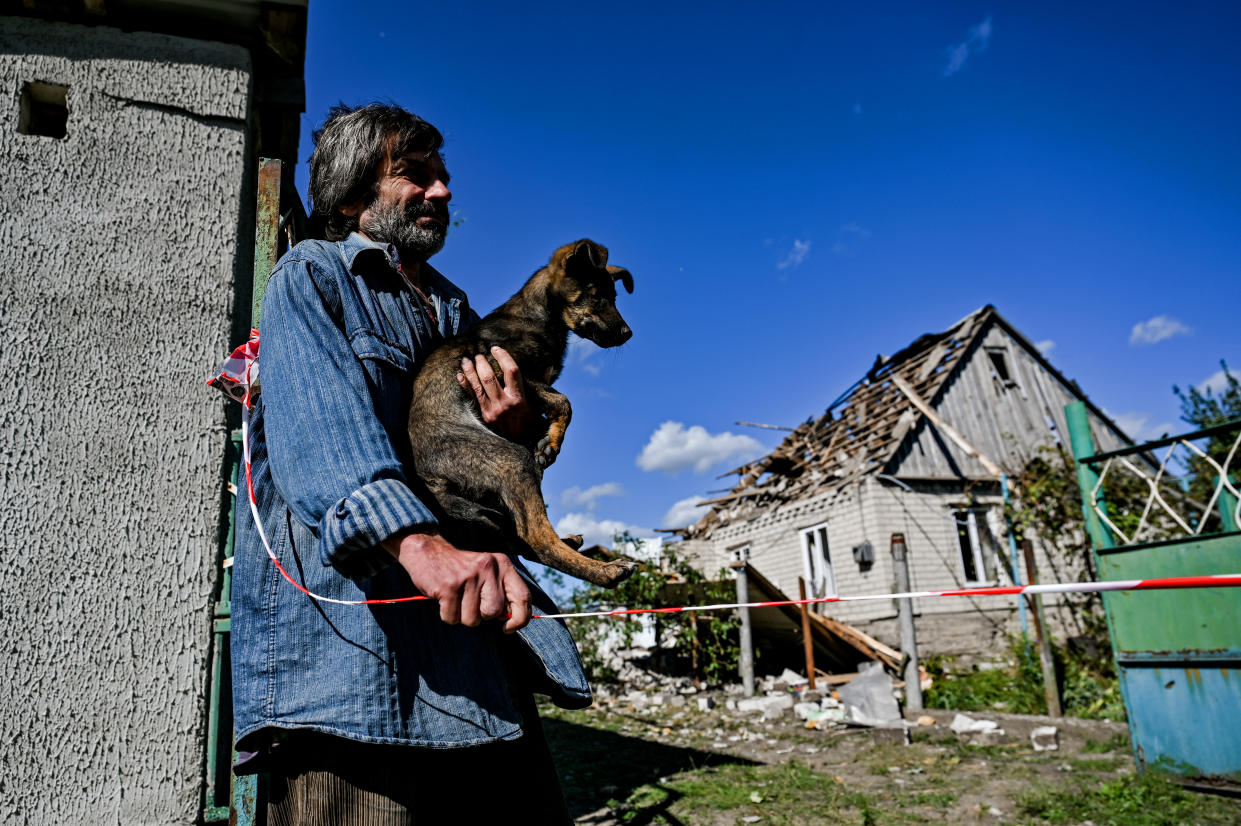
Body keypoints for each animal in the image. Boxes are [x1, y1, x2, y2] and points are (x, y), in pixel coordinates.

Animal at [409, 238, 640, 585]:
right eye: (597, 297)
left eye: (614, 297)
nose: (628, 334)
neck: (541, 318)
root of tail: (428, 479)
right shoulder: (502, 365)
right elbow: (565, 402)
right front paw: (552, 438)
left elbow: (550, 411)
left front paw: (549, 443)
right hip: (509, 460)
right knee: (536, 538)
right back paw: (606, 570)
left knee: (519, 536)